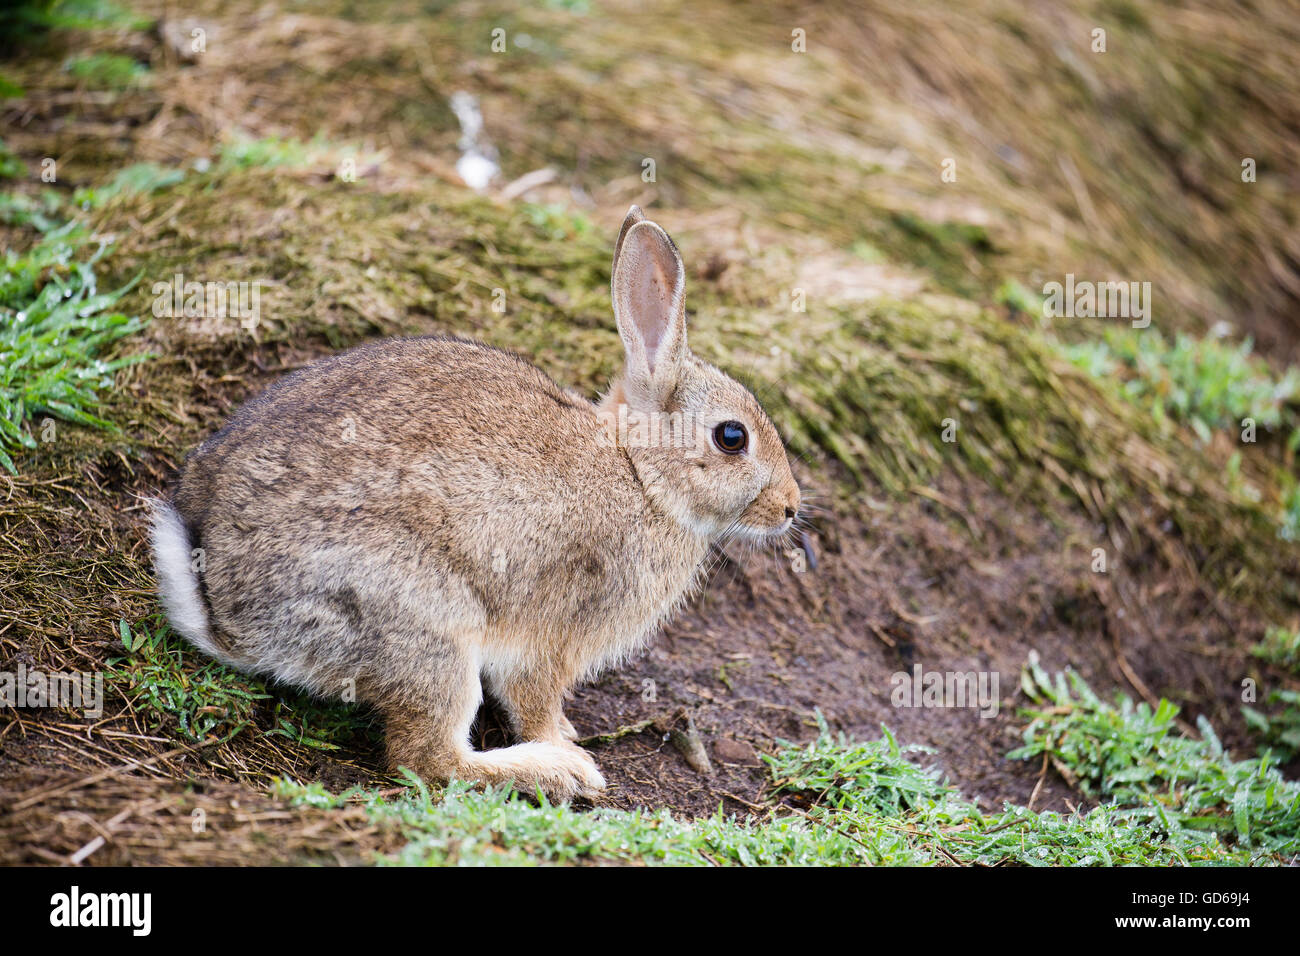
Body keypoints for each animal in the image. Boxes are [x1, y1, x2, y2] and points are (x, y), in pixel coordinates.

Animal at [152, 205, 800, 806]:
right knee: (428, 760)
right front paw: (562, 741)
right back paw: (557, 772)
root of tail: (226, 611)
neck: (639, 472)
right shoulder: (552, 634)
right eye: (732, 437)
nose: (791, 508)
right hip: (424, 625)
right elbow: (532, 699)